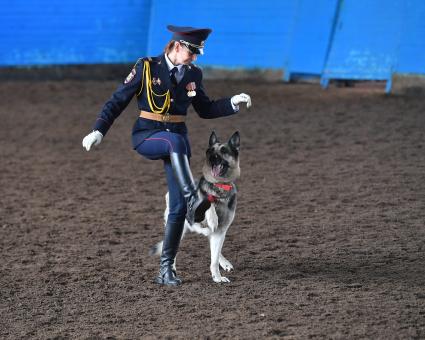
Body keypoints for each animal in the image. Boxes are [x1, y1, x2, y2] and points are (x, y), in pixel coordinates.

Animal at [151, 131, 240, 282]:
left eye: (224, 150)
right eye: (210, 150)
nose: (211, 156)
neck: (219, 187)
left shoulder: (221, 231)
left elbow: (214, 258)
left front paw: (217, 277)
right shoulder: (197, 218)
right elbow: (207, 206)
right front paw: (211, 216)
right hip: (178, 227)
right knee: (171, 247)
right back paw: (170, 271)